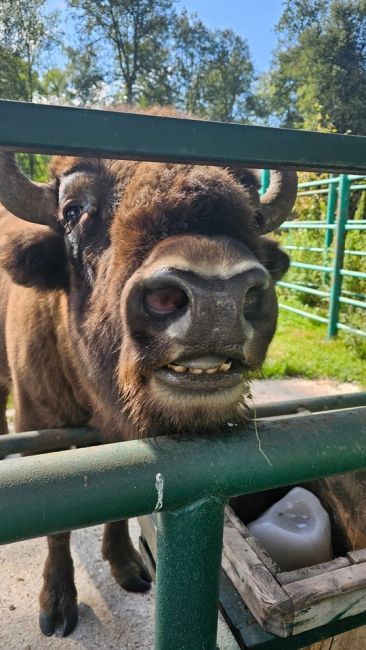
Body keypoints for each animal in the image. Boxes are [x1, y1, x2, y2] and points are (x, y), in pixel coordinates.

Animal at [0, 110, 298, 632]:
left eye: (254, 216)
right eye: (74, 211)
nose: (216, 298)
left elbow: (120, 508)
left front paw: (127, 568)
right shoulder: (38, 427)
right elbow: (57, 527)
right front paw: (56, 607)